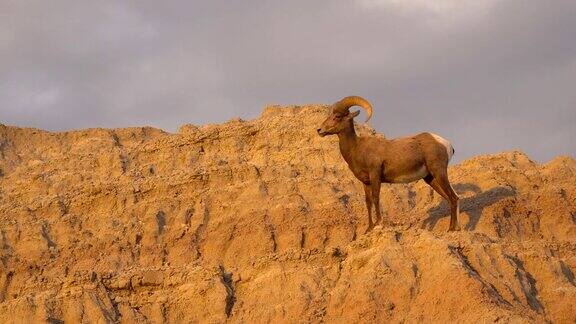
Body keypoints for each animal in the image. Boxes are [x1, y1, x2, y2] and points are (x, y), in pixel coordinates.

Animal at [316, 95, 460, 232]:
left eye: (337, 116)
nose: (319, 130)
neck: (356, 148)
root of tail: (446, 144)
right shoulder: (366, 182)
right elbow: (368, 202)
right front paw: (369, 228)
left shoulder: (375, 176)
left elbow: (376, 198)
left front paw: (378, 223)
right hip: (430, 179)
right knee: (450, 198)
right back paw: (454, 227)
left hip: (439, 172)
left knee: (453, 197)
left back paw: (452, 229)